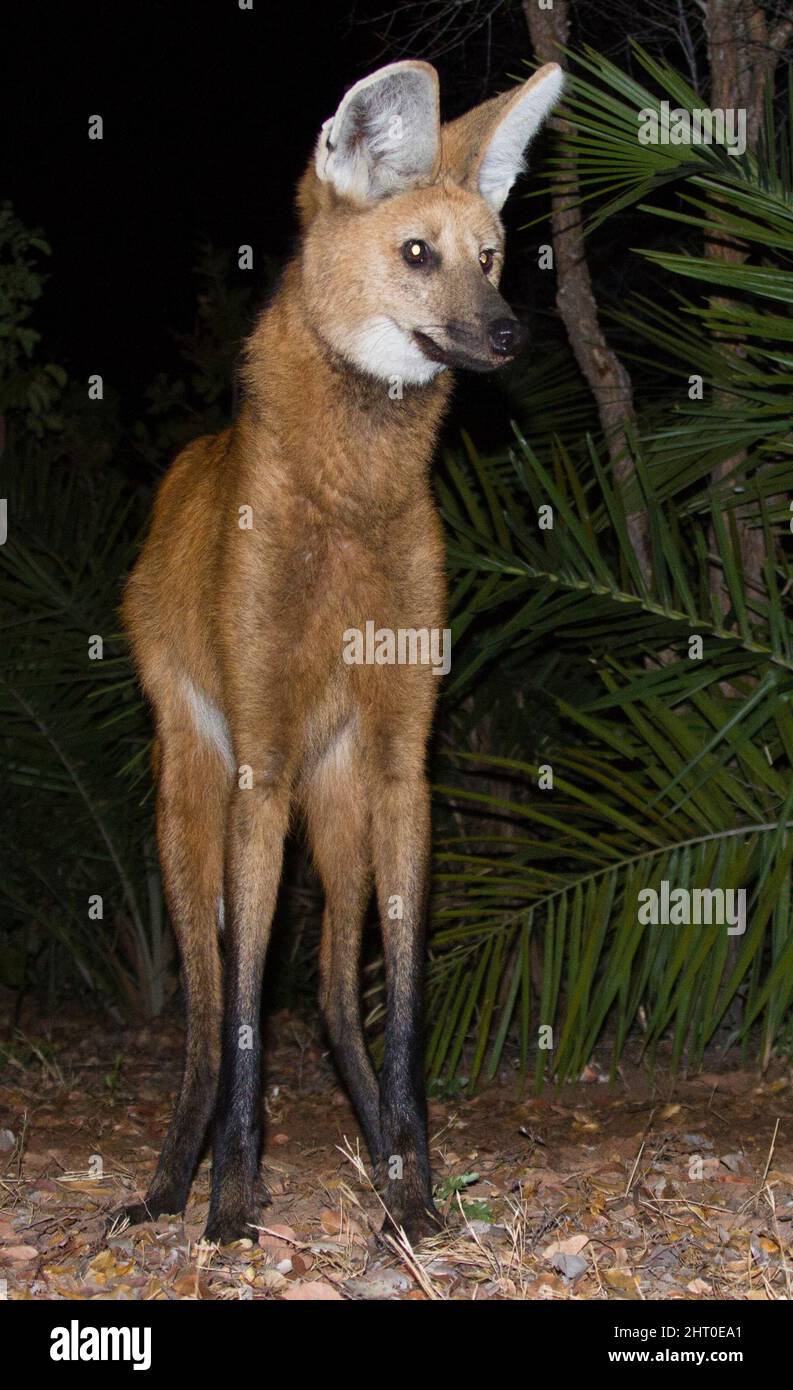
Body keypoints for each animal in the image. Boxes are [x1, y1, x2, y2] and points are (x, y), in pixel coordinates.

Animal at [120, 59, 561, 1245]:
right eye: (417, 254)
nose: (510, 334)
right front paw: (229, 1203)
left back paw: (376, 1141)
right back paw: (169, 1183)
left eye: (491, 256)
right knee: (207, 1008)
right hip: (196, 800)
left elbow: (400, 1006)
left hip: (343, 802)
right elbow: (239, 1018)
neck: (351, 502)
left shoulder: (404, 764)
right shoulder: (260, 769)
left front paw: (412, 1188)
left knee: (326, 994)